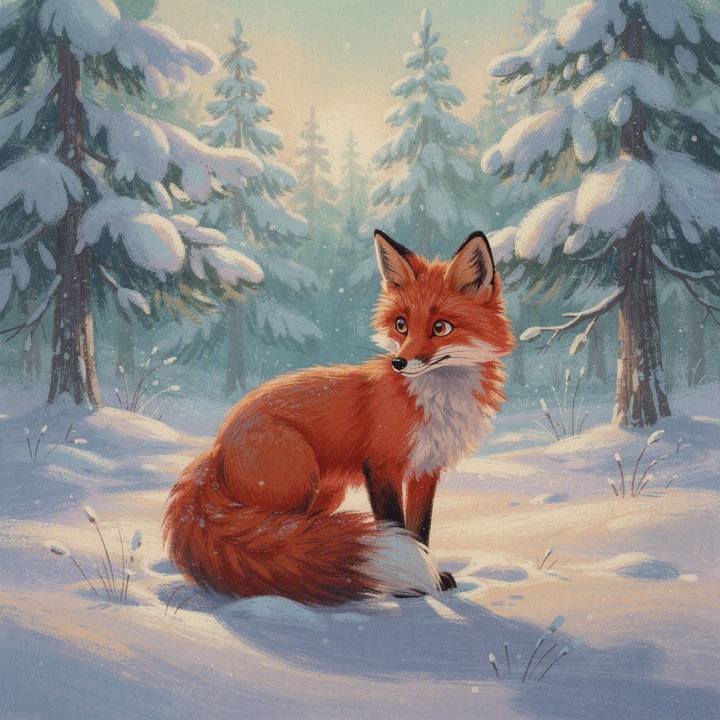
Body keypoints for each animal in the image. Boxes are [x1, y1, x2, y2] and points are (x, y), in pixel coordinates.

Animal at [163, 229, 514, 605]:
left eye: (441, 327)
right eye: (401, 325)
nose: (399, 363)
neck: (434, 399)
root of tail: (216, 447)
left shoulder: (425, 469)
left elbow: (420, 528)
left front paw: (428, 575)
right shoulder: (382, 465)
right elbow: (395, 522)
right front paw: (407, 585)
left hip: (323, 494)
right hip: (296, 484)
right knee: (276, 538)